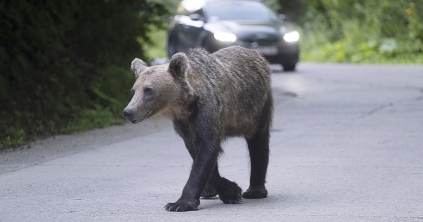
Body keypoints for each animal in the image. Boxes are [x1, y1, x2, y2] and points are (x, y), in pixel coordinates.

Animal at [124, 45, 274, 212]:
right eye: (133, 90)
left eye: (148, 90)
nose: (128, 111)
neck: (185, 105)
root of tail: (256, 54)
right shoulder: (184, 124)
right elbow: (198, 153)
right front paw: (230, 190)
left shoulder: (206, 112)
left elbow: (206, 149)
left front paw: (179, 204)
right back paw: (208, 191)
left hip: (257, 108)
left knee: (258, 144)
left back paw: (255, 190)